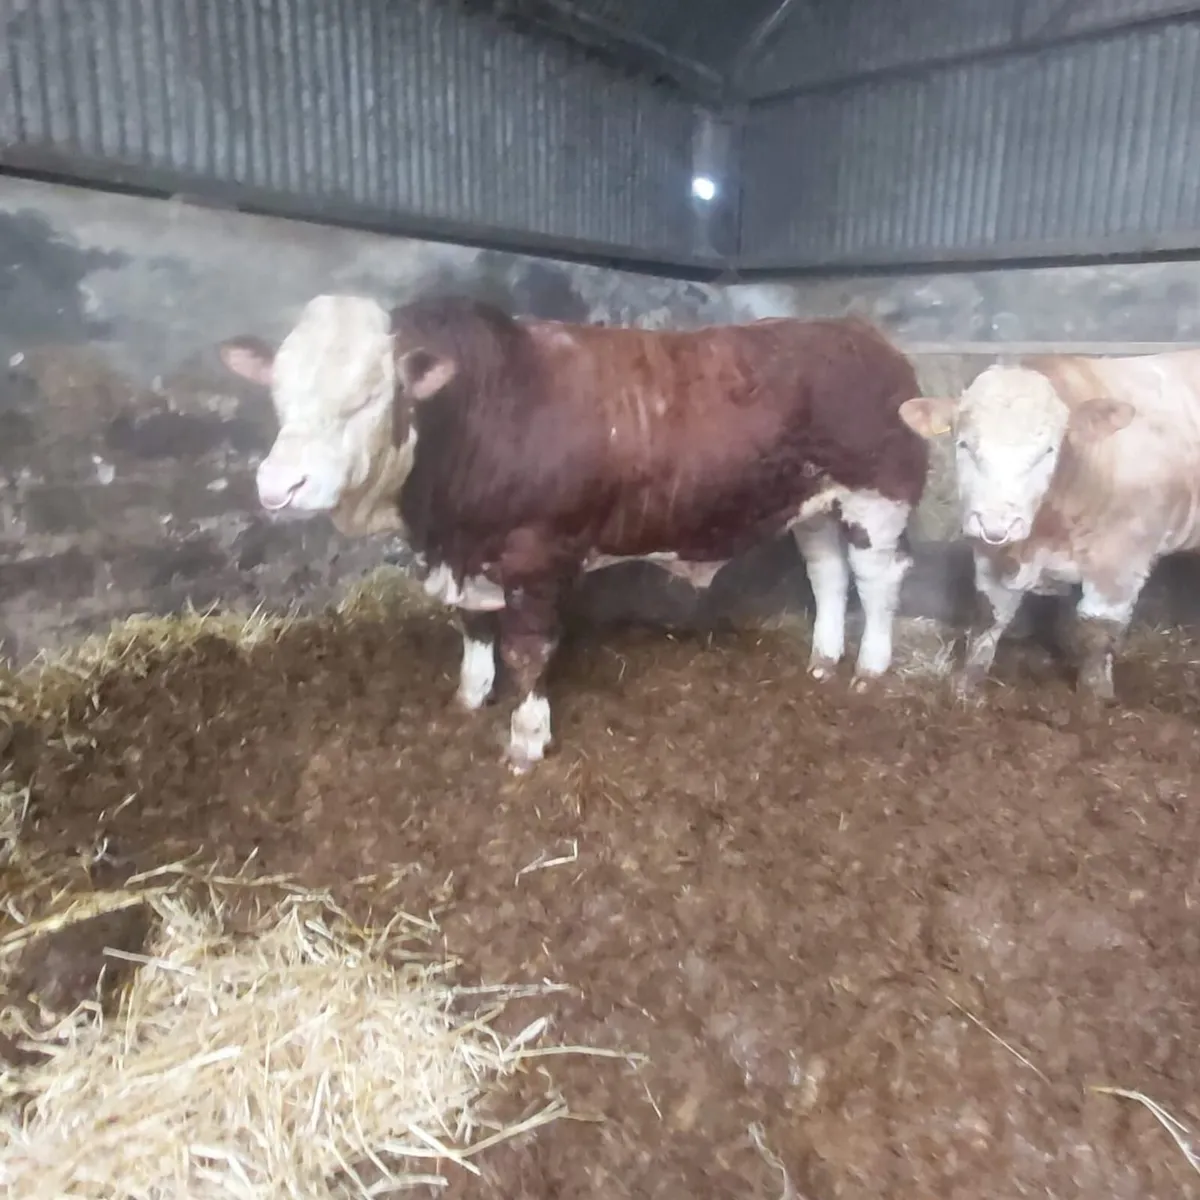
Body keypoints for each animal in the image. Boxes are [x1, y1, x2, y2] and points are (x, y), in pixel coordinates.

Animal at [219, 294, 929, 772]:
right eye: (279, 391)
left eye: (370, 396)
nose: (279, 484)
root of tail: (857, 331)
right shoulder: (471, 556)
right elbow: (474, 630)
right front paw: (469, 698)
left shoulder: (536, 556)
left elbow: (528, 651)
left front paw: (526, 741)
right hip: (814, 503)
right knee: (828, 573)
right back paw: (823, 660)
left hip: (878, 495)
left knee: (877, 580)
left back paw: (869, 669)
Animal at [899, 349, 1200, 699]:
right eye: (964, 445)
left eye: (1048, 450)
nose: (995, 524)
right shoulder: (991, 555)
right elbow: (989, 617)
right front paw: (966, 688)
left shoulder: (1120, 564)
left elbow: (1098, 633)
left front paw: (1094, 698)